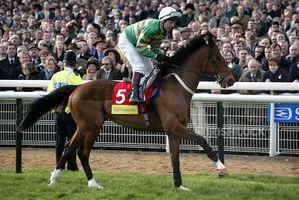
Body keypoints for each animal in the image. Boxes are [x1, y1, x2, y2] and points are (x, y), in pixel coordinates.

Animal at [18, 32, 237, 191]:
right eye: (218, 58)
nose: (231, 80)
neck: (176, 86)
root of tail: (77, 88)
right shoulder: (173, 126)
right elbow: (202, 140)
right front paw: (221, 168)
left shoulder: (174, 130)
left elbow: (175, 158)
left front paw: (179, 186)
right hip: (93, 126)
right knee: (82, 152)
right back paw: (93, 184)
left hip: (82, 126)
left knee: (68, 149)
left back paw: (54, 180)